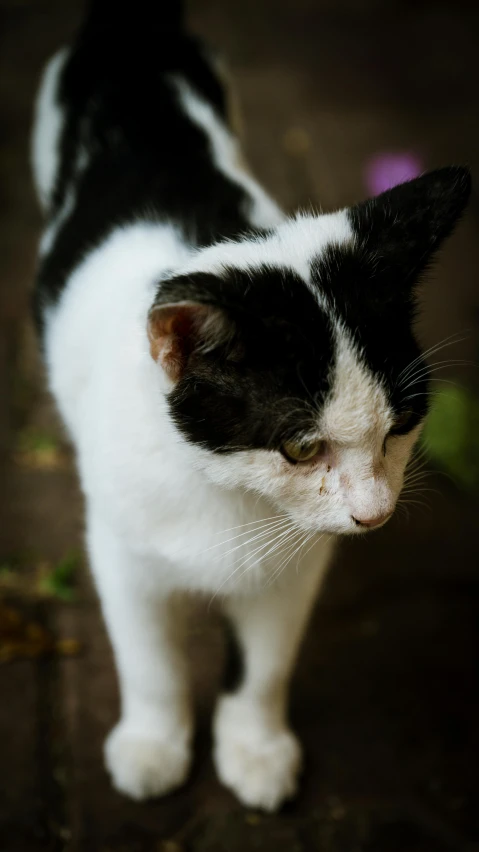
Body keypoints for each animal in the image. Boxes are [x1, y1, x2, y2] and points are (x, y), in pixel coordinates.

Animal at [31, 0, 470, 812]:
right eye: (299, 446)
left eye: (400, 427)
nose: (373, 516)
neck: (221, 488)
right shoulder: (119, 548)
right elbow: (149, 659)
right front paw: (152, 745)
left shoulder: (297, 562)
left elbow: (264, 662)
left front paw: (255, 749)